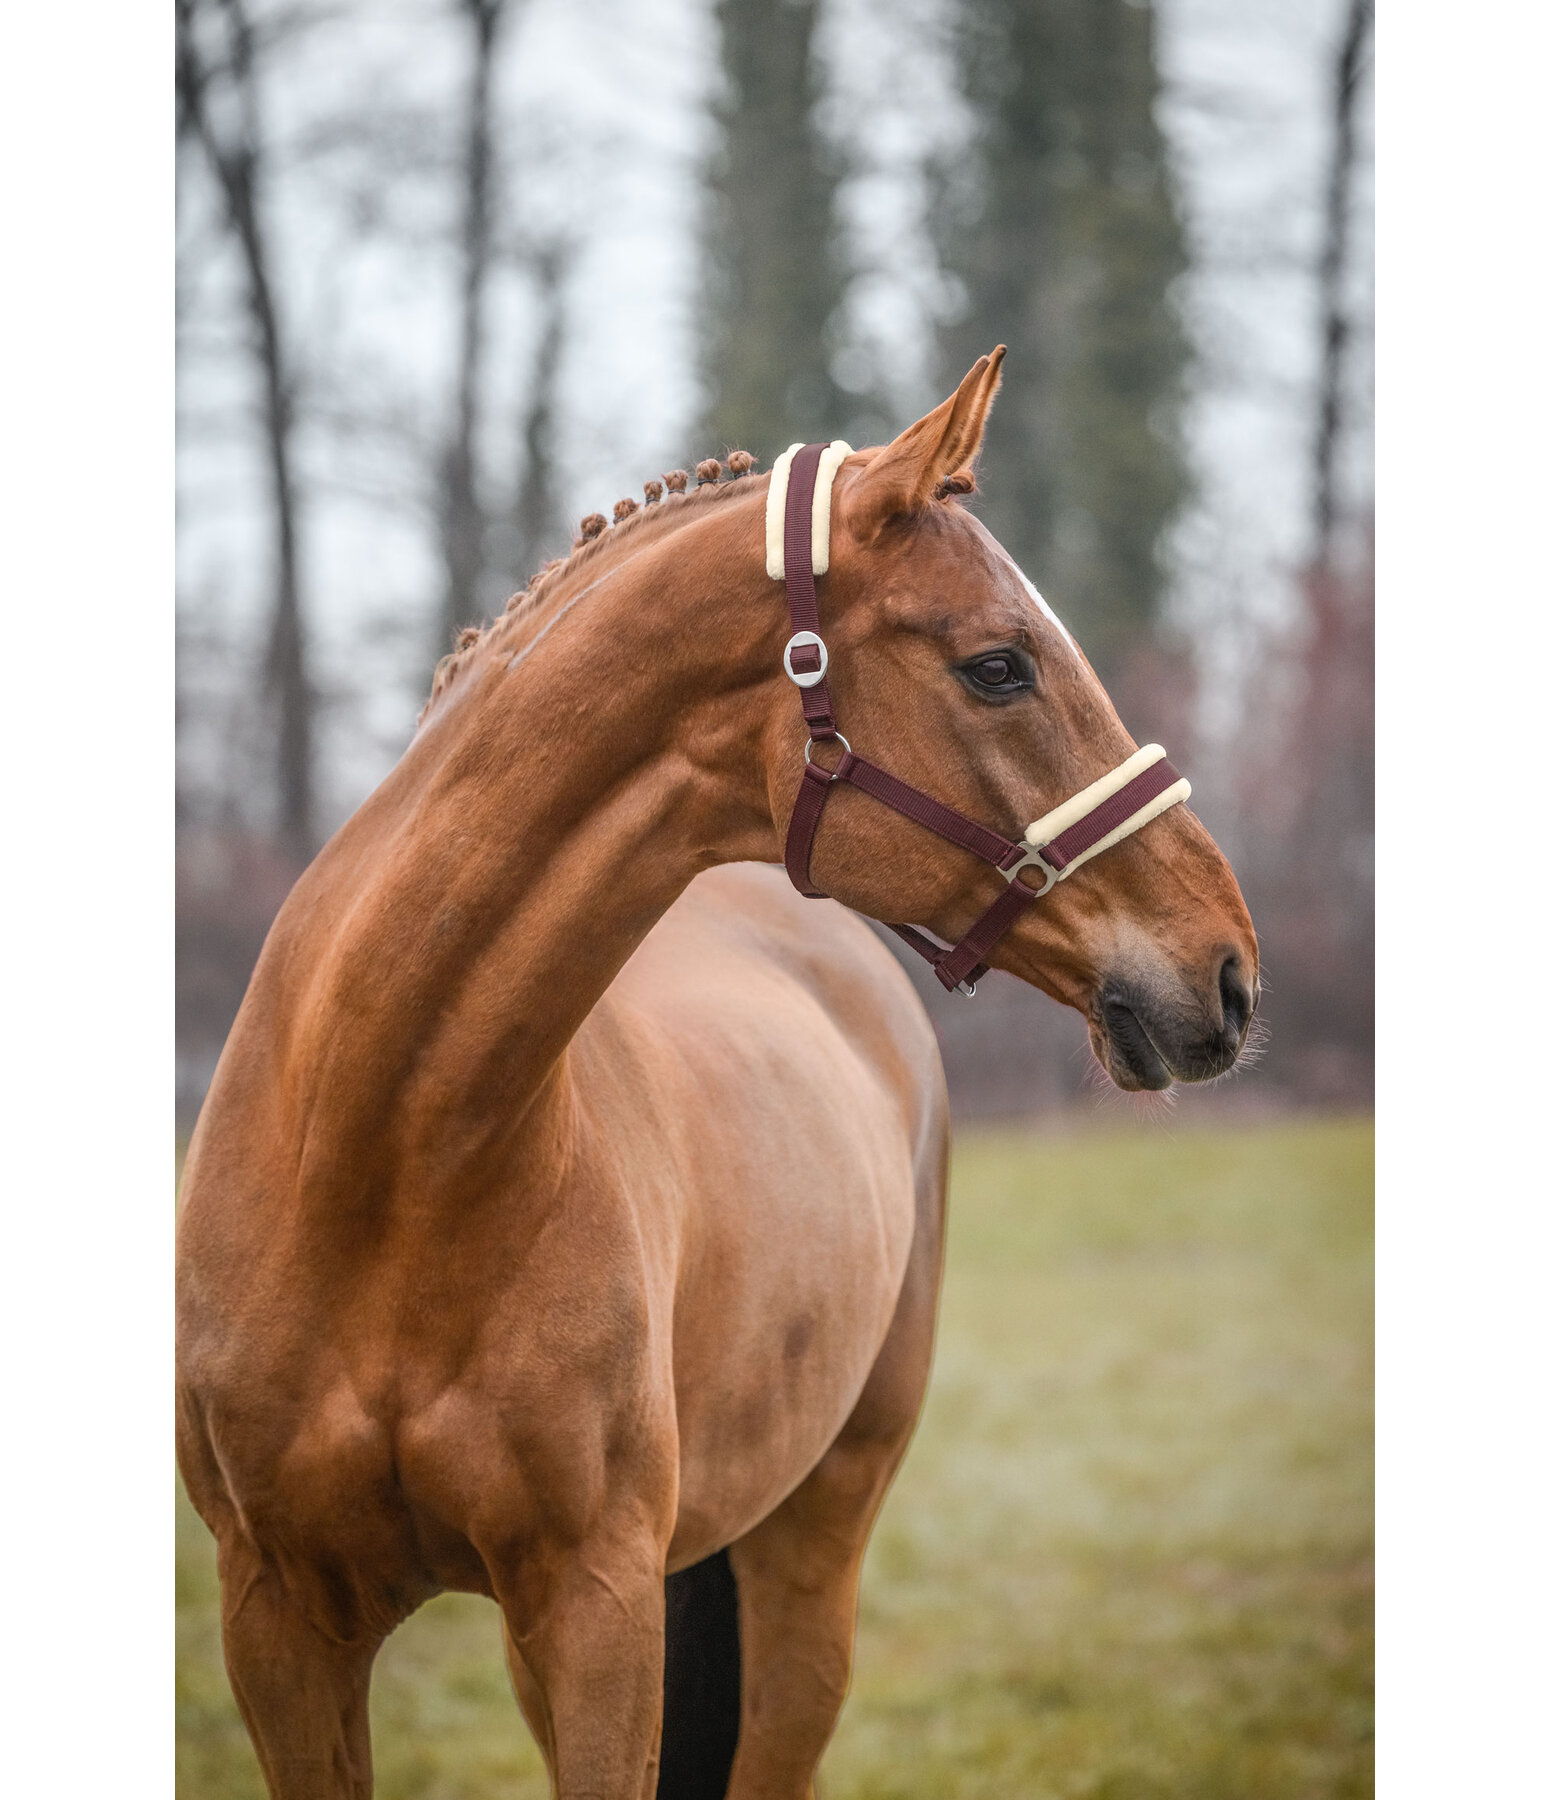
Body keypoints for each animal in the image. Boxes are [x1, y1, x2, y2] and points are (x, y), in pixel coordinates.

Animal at [175, 343, 1260, 1792]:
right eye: (995, 666)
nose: (1225, 970)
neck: (378, 1162)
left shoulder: (598, 1606)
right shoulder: (280, 1619)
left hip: (814, 1539)